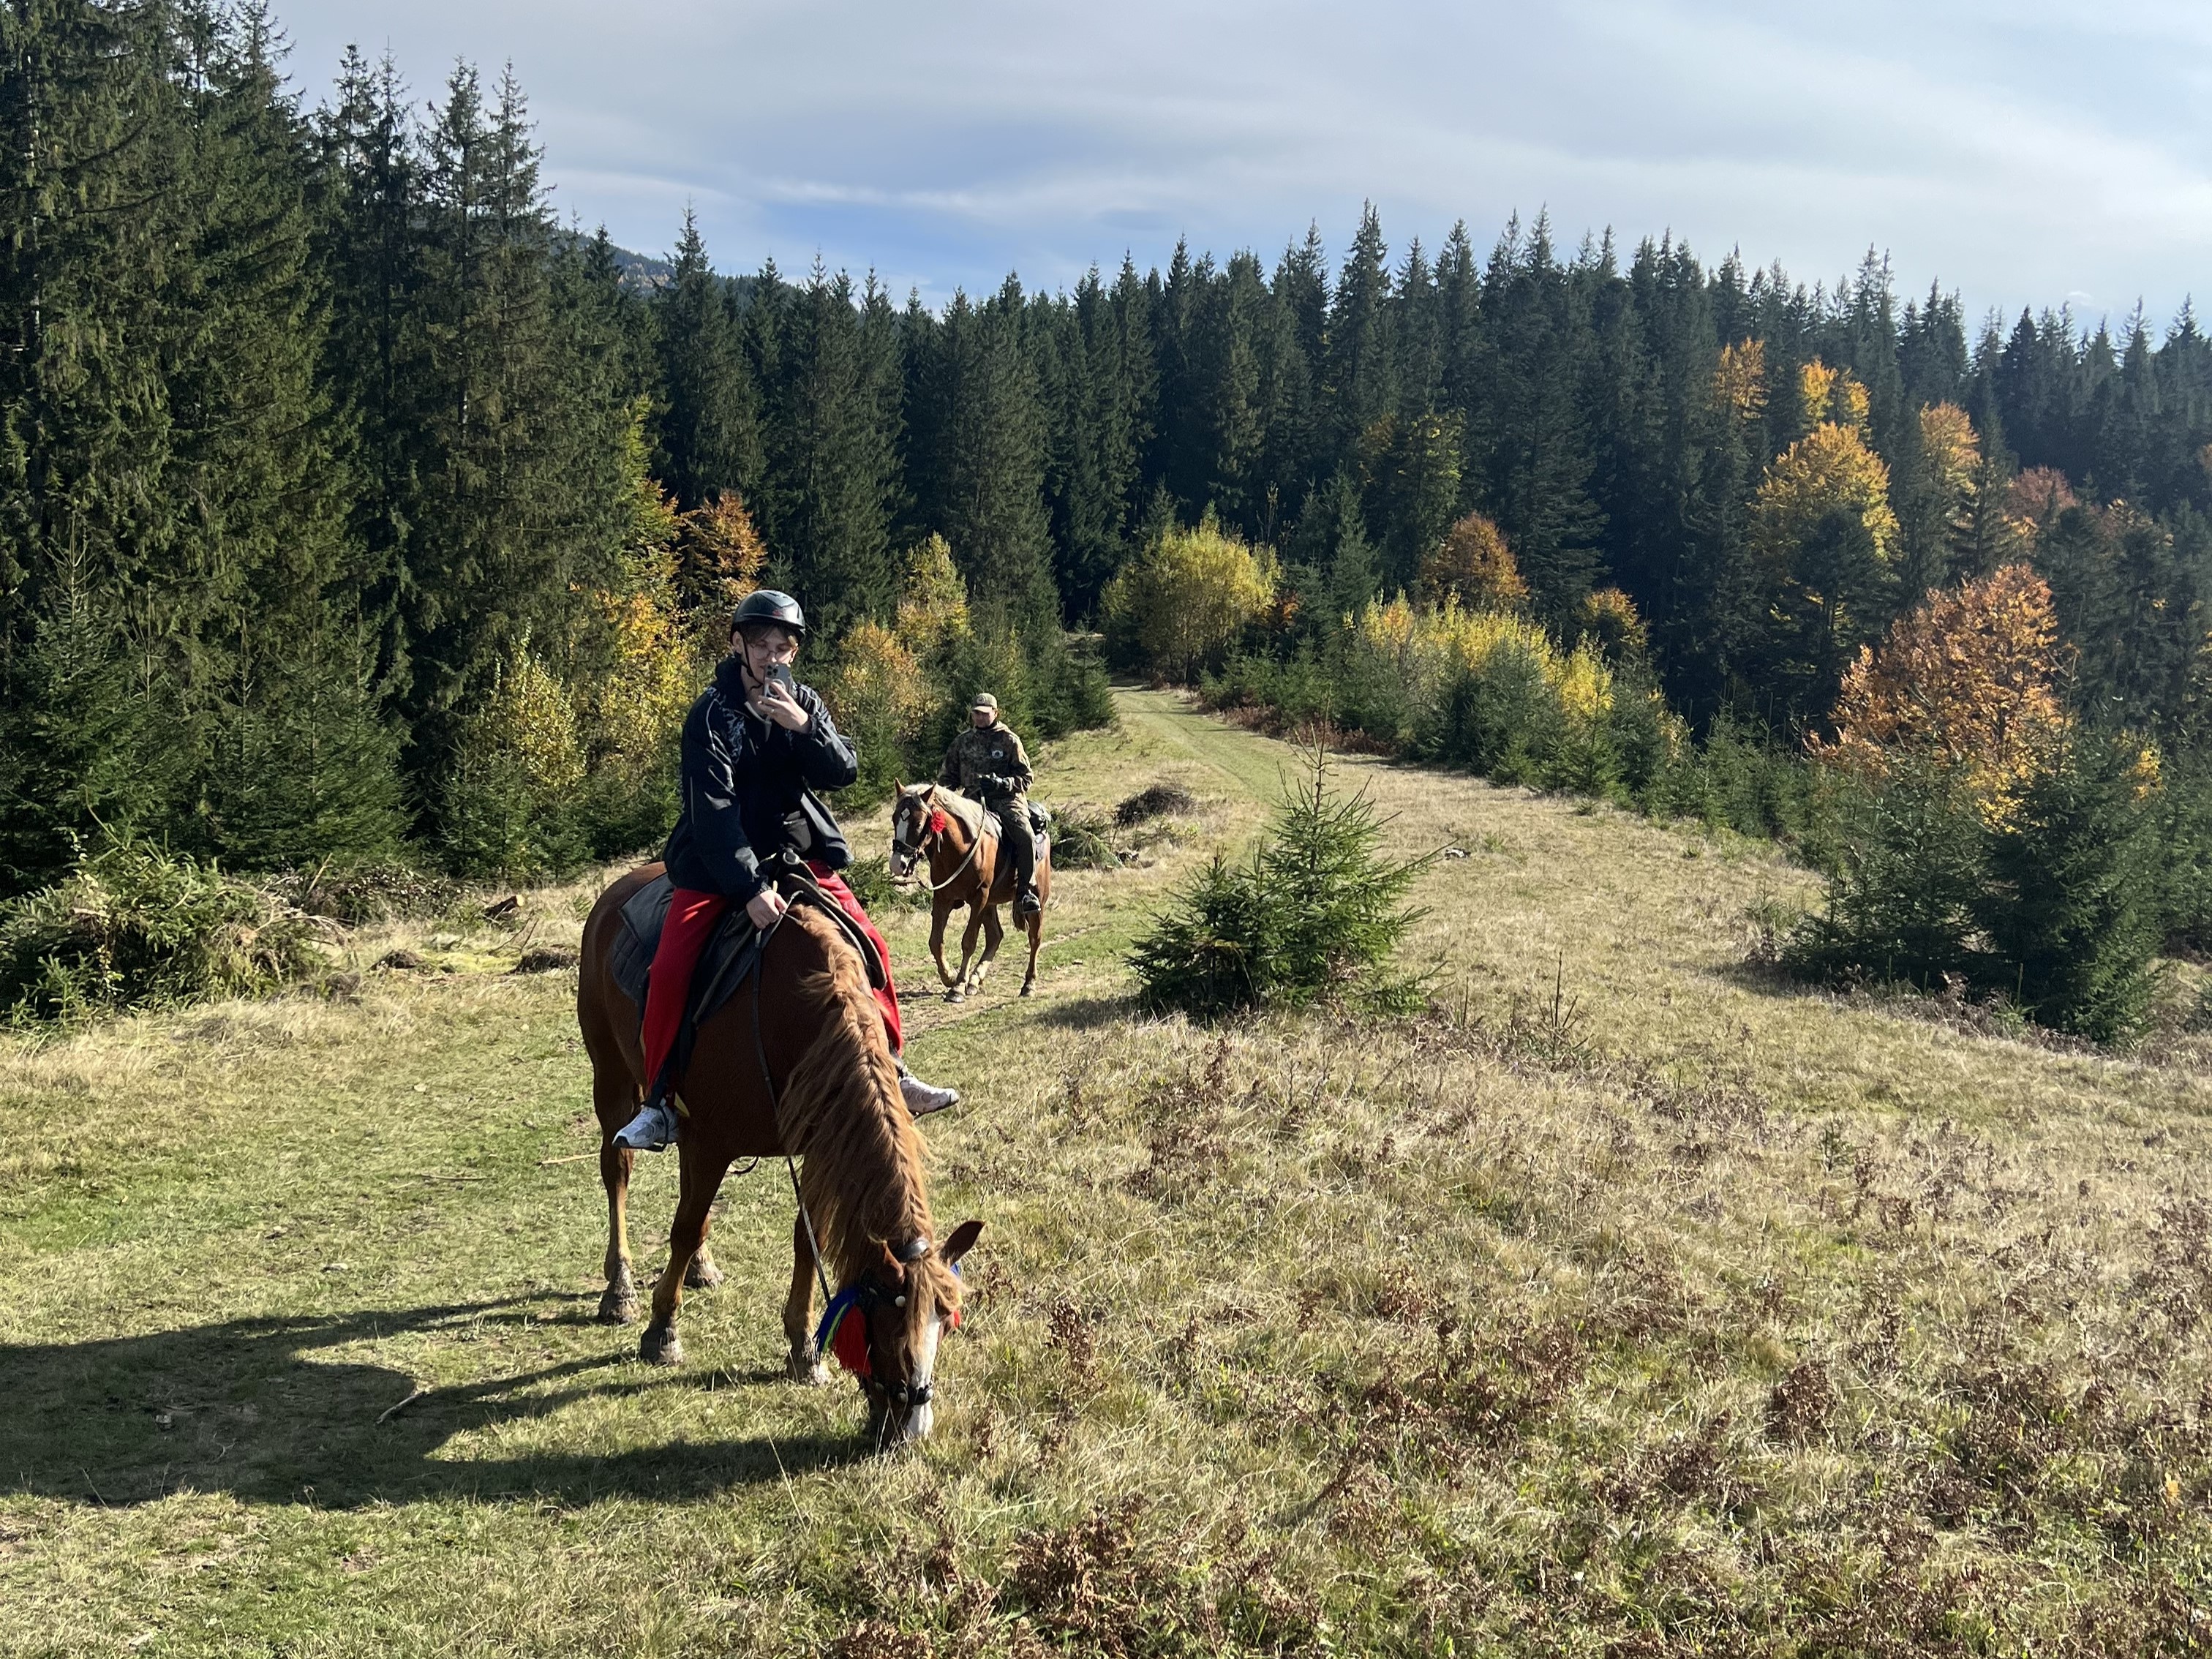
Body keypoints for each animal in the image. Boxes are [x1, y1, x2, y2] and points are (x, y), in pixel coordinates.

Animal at [575, 862, 982, 1451]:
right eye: (888, 1326)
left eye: (943, 1325)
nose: (910, 1430)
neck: (791, 1015)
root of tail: (618, 889)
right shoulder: (711, 1142)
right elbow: (686, 1227)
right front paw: (662, 1330)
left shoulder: (813, 1143)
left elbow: (806, 1240)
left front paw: (803, 1348)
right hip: (610, 1076)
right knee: (618, 1173)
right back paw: (620, 1285)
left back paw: (701, 1269)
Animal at [884, 787, 1048, 1008]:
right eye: (895, 819)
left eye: (918, 823)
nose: (897, 864)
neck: (960, 849)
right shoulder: (943, 898)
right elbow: (935, 941)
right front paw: (950, 977)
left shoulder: (979, 899)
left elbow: (969, 941)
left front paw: (958, 988)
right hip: (991, 904)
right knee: (995, 936)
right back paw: (975, 981)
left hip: (1036, 900)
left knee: (1035, 938)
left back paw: (1028, 984)